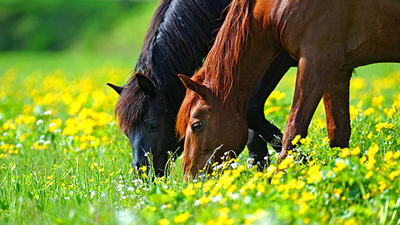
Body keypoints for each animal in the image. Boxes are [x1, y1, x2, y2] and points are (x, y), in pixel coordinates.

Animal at [177, 0, 400, 179]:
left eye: (196, 125)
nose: (188, 178)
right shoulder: (338, 71)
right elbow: (339, 134)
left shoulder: (317, 59)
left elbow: (293, 130)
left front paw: (279, 181)